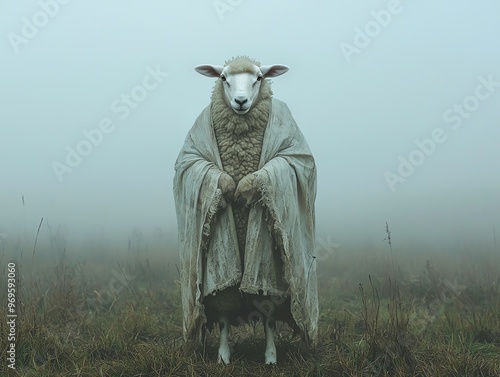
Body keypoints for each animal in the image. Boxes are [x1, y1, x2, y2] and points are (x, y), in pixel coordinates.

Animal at [174, 55, 318, 364]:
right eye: (224, 78)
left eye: (259, 78)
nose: (240, 101)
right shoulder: (191, 160)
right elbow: (195, 166)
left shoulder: (294, 156)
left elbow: (287, 163)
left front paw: (247, 187)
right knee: (226, 308)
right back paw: (224, 353)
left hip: (268, 271)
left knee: (267, 310)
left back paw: (270, 355)